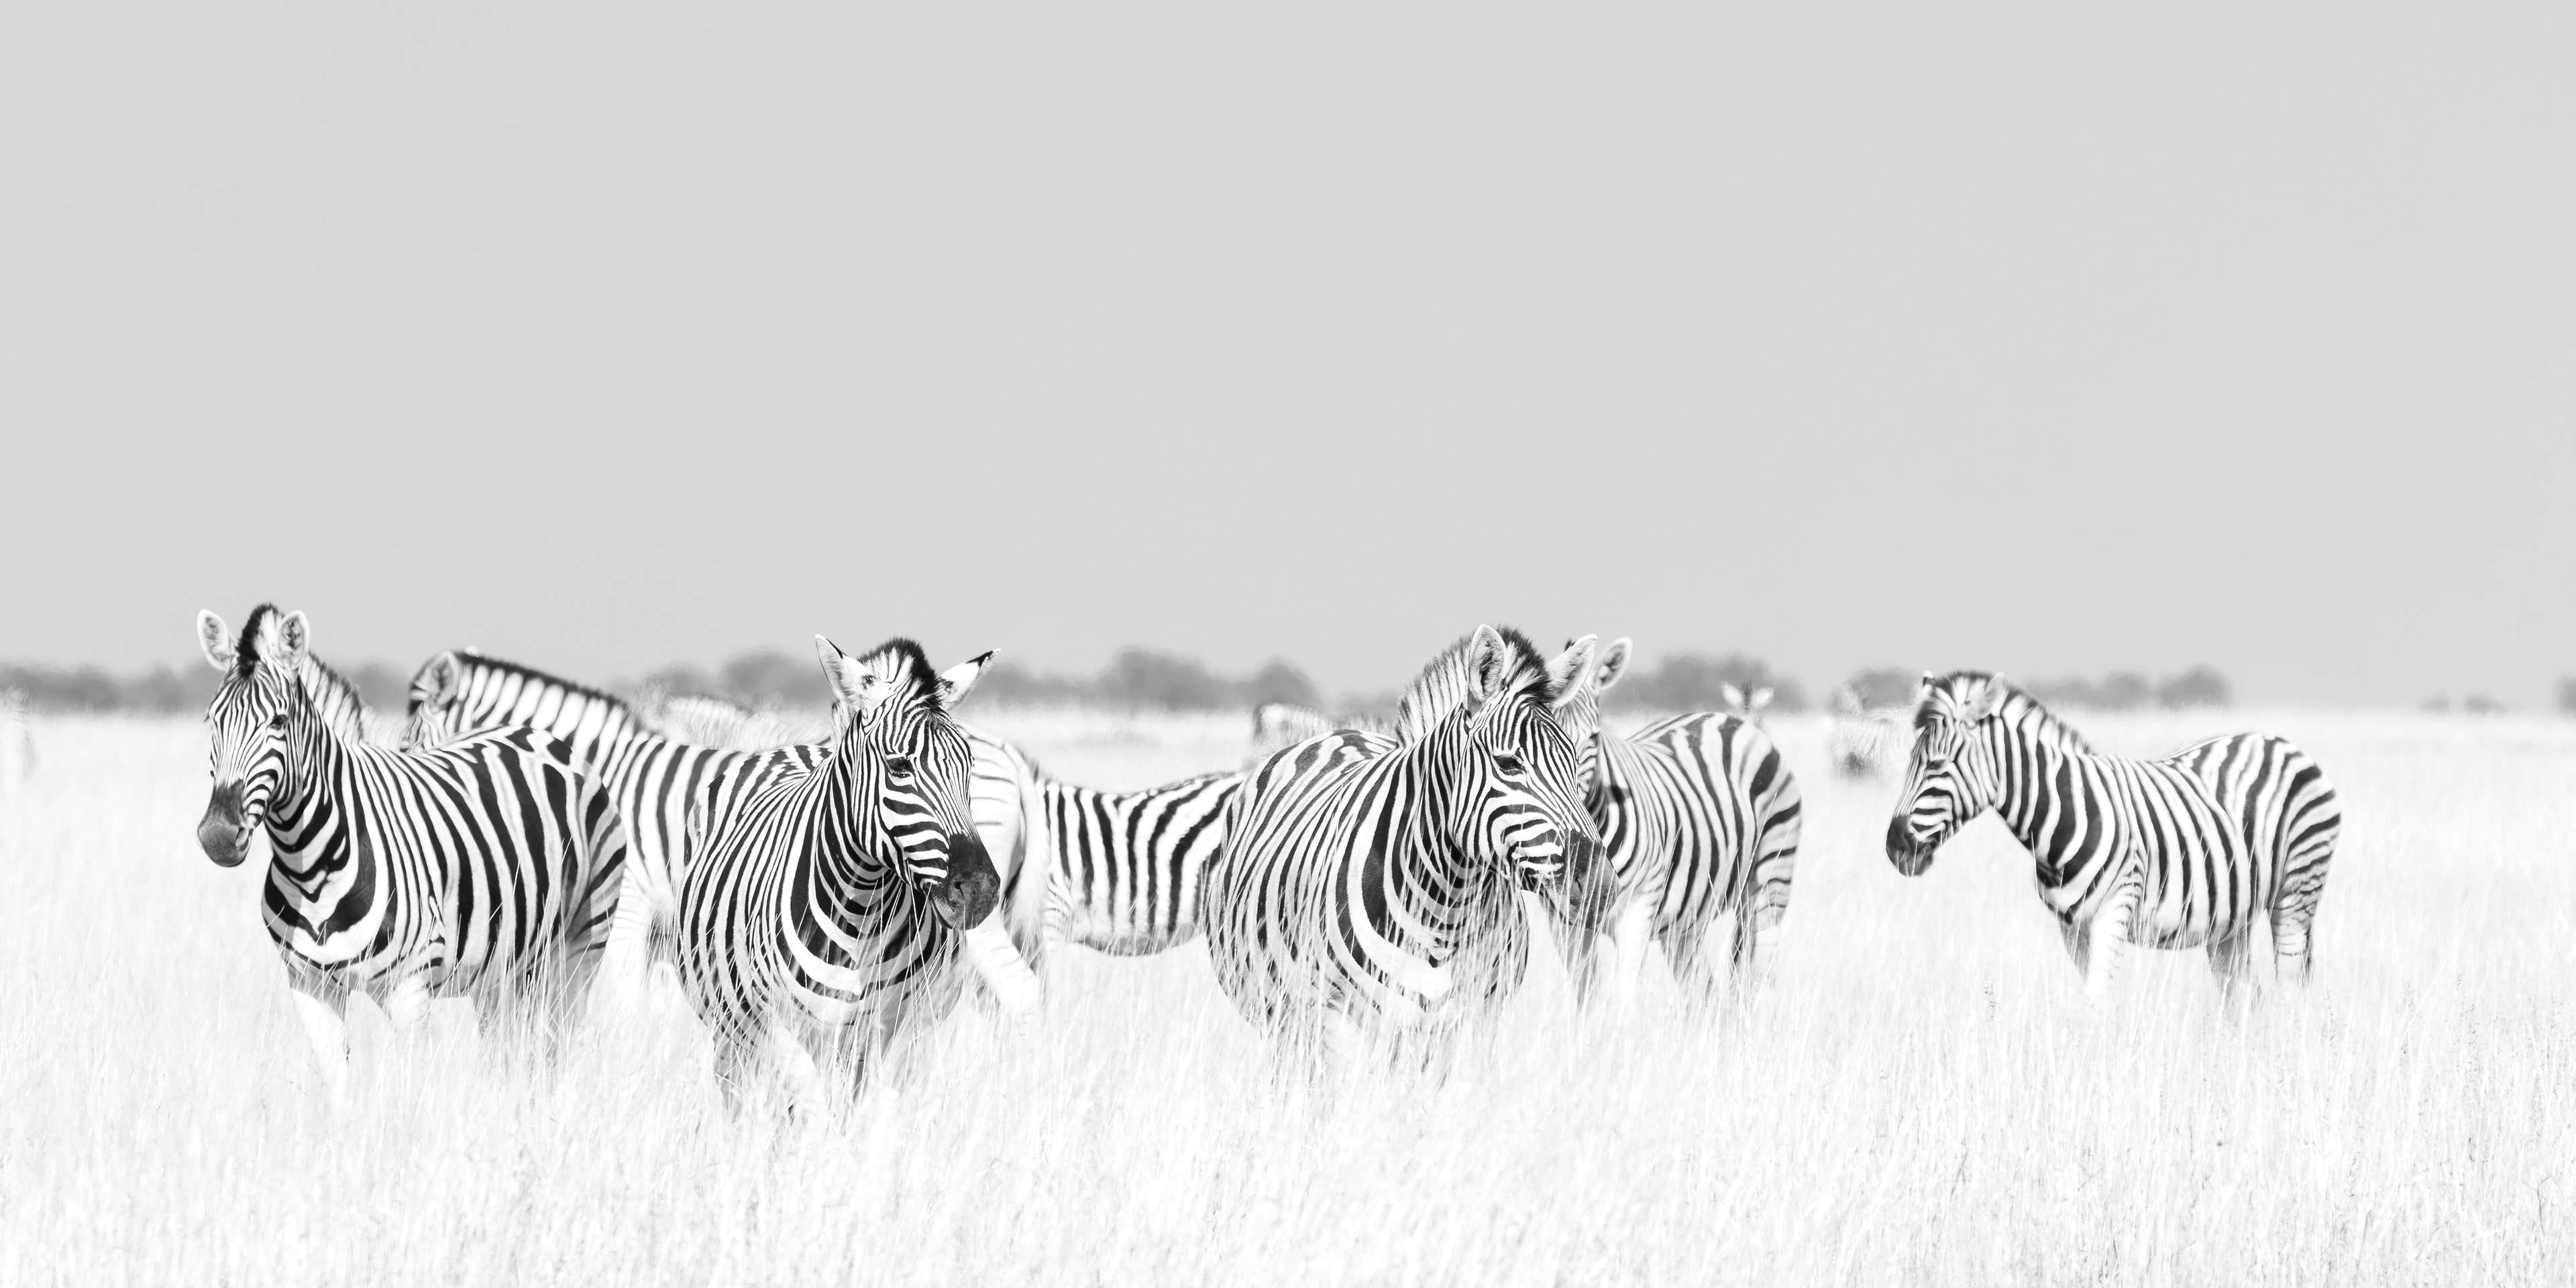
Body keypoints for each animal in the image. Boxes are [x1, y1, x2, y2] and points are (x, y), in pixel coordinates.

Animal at [194, 607, 629, 1105]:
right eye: (211, 721)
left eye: (279, 723)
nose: (218, 835)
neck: (314, 867)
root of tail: (539, 735)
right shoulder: (310, 987)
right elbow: (339, 1089)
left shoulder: (410, 990)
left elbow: (409, 1089)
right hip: (501, 970)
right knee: (505, 1053)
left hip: (582, 947)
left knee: (559, 1043)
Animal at [674, 636, 999, 1105]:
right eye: (900, 767)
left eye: (969, 767)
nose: (979, 890)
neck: (860, 910)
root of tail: (802, 747)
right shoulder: (778, 1029)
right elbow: (806, 1105)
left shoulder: (902, 1031)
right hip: (730, 1025)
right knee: (737, 1086)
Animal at [1201, 627, 1608, 1077]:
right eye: (1509, 764)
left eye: (1575, 761)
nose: (1601, 883)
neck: (1445, 915)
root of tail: (1340, 733)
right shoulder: (1336, 1021)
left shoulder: (1469, 1024)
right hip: (1282, 1020)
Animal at [1885, 671, 2342, 1001]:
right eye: (1909, 763)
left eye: (1938, 765)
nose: (1894, 847)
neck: (2065, 815)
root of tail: (2281, 742)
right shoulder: (2071, 929)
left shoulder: (2115, 912)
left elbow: (2097, 1003)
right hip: (2232, 919)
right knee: (2246, 999)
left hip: (2296, 894)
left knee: (2289, 989)